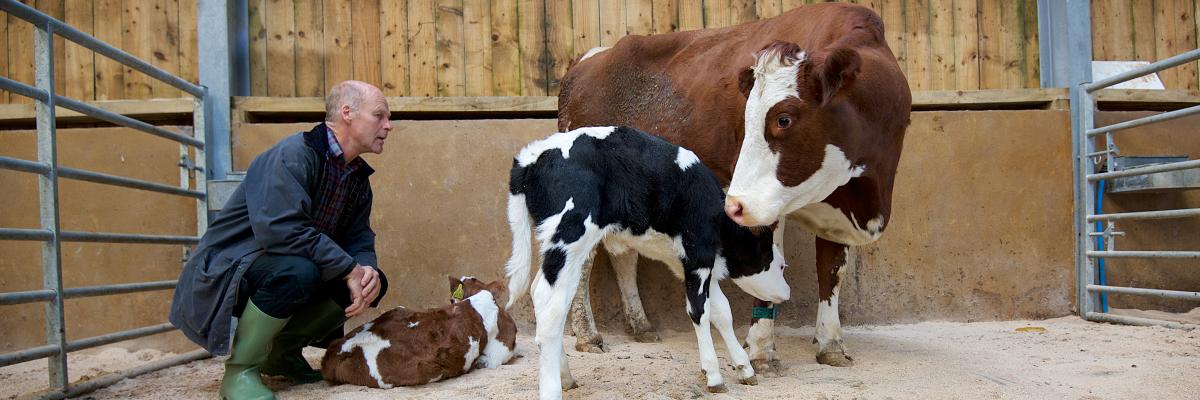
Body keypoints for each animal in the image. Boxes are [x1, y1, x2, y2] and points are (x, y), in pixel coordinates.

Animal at [504, 126, 792, 396]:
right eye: (779, 265)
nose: (787, 292)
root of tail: (530, 157)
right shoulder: (698, 252)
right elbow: (700, 310)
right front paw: (713, 375)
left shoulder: (687, 261)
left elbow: (722, 311)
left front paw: (744, 367)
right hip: (570, 236)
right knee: (550, 302)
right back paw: (552, 388)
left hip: (561, 248)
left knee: (542, 293)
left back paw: (565, 376)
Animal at [556, 3, 912, 369]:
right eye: (746, 118)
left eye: (783, 119)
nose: (731, 205)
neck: (864, 198)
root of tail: (590, 58)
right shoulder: (762, 204)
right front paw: (760, 350)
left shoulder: (836, 207)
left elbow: (831, 272)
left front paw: (831, 343)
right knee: (583, 262)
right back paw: (588, 335)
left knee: (624, 253)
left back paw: (640, 325)